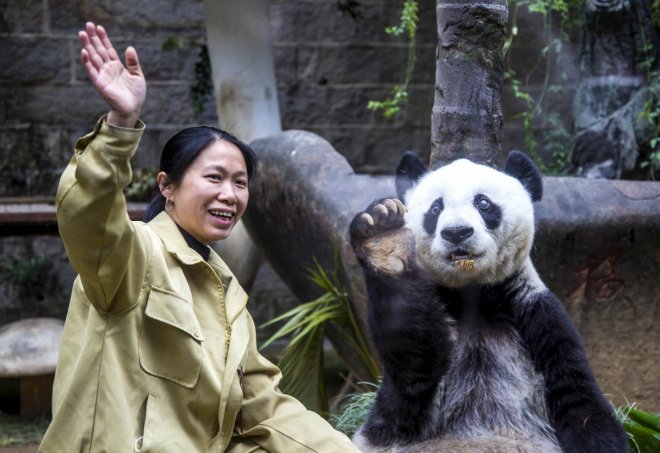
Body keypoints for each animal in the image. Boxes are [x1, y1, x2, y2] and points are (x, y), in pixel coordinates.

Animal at [348, 150, 628, 450]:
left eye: (483, 203)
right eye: (435, 209)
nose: (457, 232)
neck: (473, 292)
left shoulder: (536, 313)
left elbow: (579, 399)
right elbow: (412, 371)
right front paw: (384, 237)